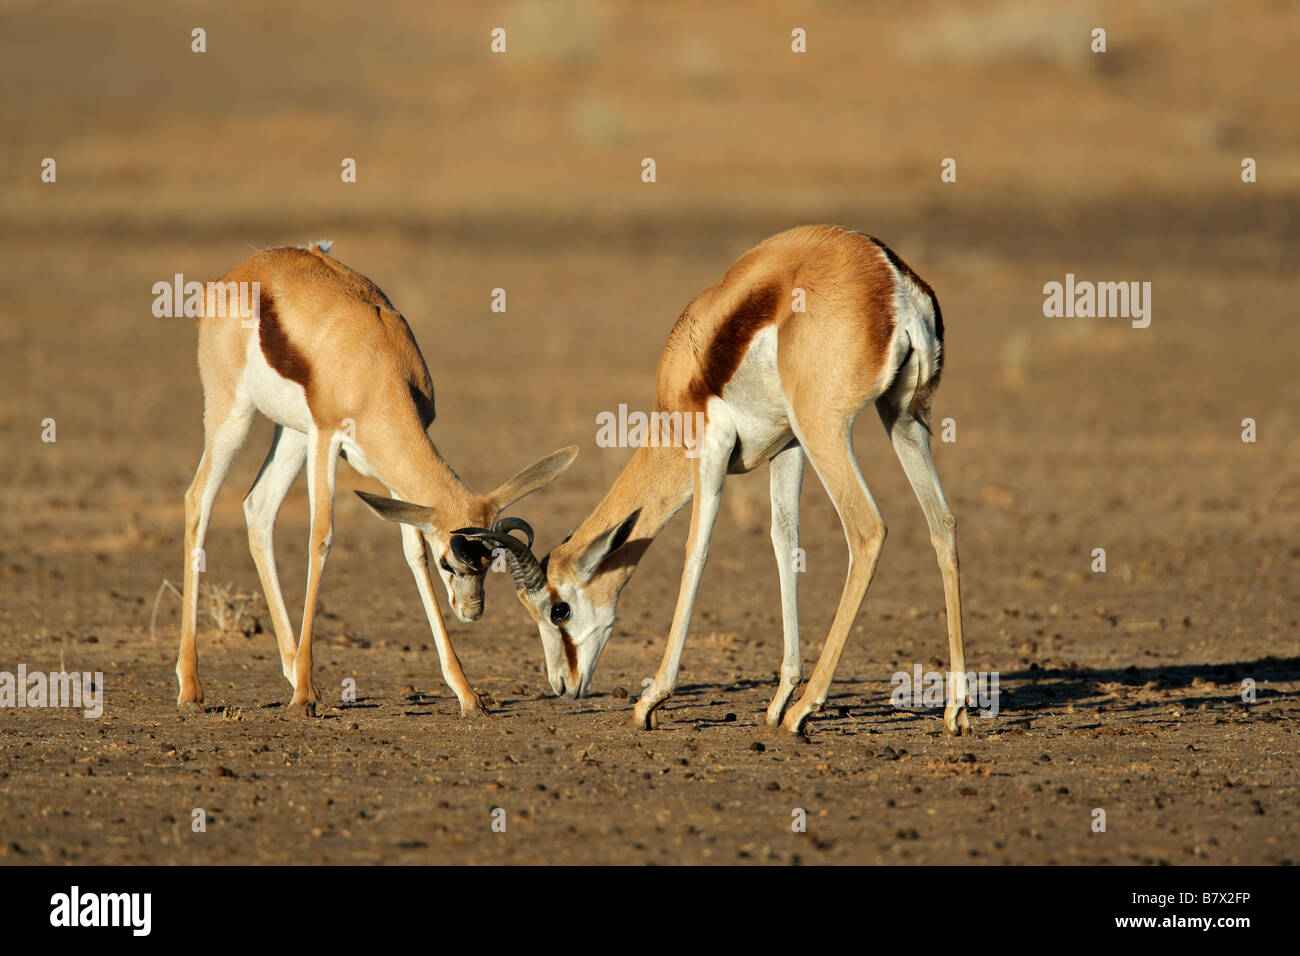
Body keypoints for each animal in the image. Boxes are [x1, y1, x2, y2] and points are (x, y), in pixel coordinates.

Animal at [176, 240, 574, 717]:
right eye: (451, 562)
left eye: (488, 562)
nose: (472, 611)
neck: (377, 367)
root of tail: (236, 275)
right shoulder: (326, 439)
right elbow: (321, 539)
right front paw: (304, 698)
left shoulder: (392, 482)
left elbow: (414, 553)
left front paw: (468, 694)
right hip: (234, 417)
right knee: (198, 499)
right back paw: (193, 688)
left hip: (291, 433)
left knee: (257, 508)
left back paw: (291, 671)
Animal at [452, 227, 972, 738]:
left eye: (557, 609)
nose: (562, 685)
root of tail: (891, 276)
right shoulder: (787, 446)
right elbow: (784, 542)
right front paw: (778, 699)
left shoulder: (711, 447)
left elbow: (696, 550)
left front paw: (651, 702)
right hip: (901, 418)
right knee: (942, 524)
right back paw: (956, 711)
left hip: (826, 428)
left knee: (867, 530)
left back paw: (807, 710)